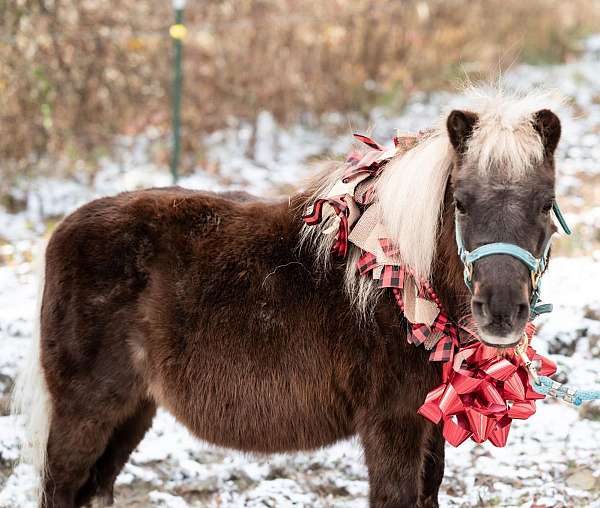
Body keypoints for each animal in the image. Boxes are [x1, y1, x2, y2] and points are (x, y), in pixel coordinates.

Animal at [9, 89, 564, 506]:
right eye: (462, 203)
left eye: (545, 204)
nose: (501, 311)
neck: (397, 280)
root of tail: (62, 230)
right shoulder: (392, 424)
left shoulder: (428, 425)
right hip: (86, 411)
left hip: (132, 411)